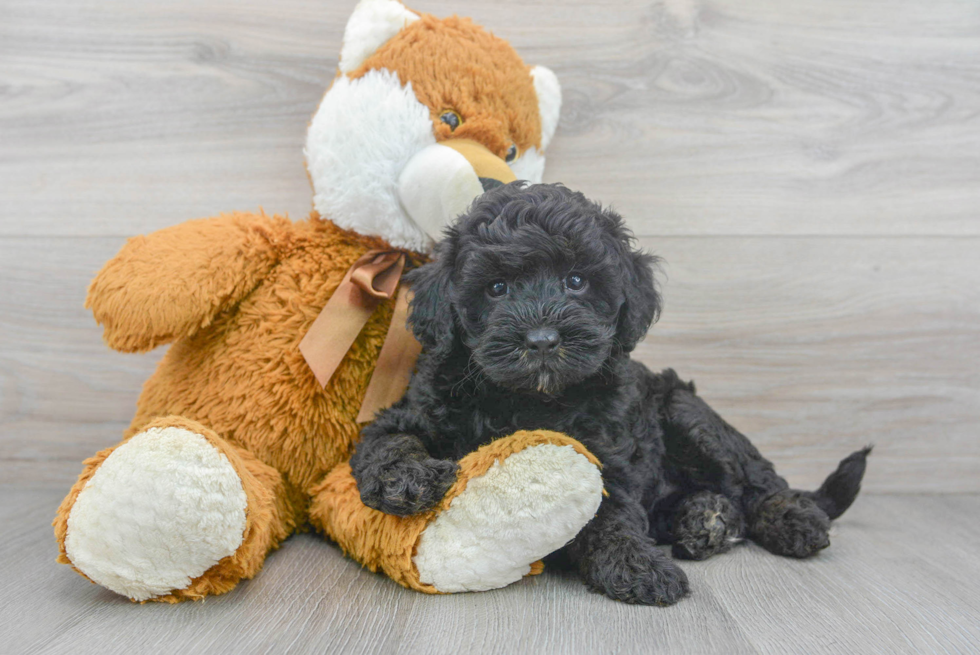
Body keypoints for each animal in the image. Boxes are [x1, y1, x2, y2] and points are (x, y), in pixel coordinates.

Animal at [348, 182, 868, 608]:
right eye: (496, 288)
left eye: (576, 281)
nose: (542, 340)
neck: (529, 398)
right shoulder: (413, 411)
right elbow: (388, 441)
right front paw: (407, 478)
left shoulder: (606, 447)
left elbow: (612, 508)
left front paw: (635, 565)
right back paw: (705, 519)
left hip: (687, 412)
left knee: (755, 480)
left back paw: (785, 519)